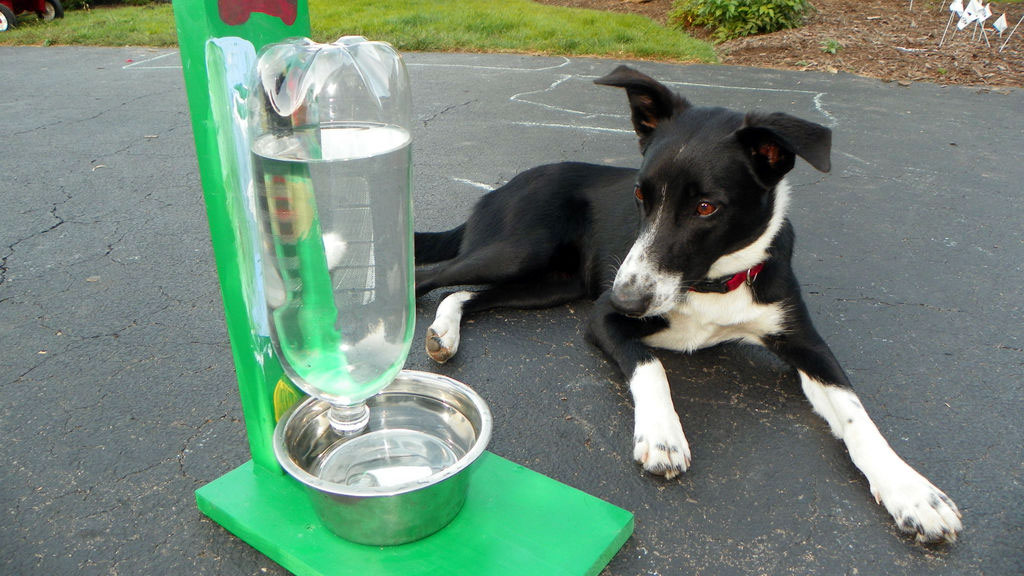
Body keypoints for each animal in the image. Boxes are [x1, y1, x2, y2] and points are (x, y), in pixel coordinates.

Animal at [411, 65, 962, 541]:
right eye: (640, 195)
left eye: (706, 207)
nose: (628, 298)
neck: (714, 284)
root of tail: (501, 186)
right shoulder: (603, 318)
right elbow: (650, 366)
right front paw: (662, 435)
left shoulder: (804, 343)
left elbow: (854, 412)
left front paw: (912, 492)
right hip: (521, 251)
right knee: (429, 275)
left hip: (552, 283)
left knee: (467, 293)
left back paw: (445, 333)